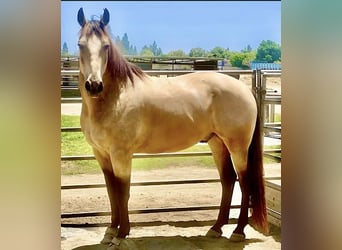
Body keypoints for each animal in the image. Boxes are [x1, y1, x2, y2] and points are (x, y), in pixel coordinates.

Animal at [76, 7, 268, 248]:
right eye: (80, 45)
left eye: (106, 46)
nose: (94, 85)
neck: (115, 97)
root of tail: (244, 89)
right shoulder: (101, 154)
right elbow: (112, 192)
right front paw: (110, 231)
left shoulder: (121, 154)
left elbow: (123, 193)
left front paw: (121, 234)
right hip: (217, 143)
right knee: (228, 179)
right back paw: (215, 229)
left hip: (238, 146)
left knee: (244, 181)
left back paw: (238, 231)